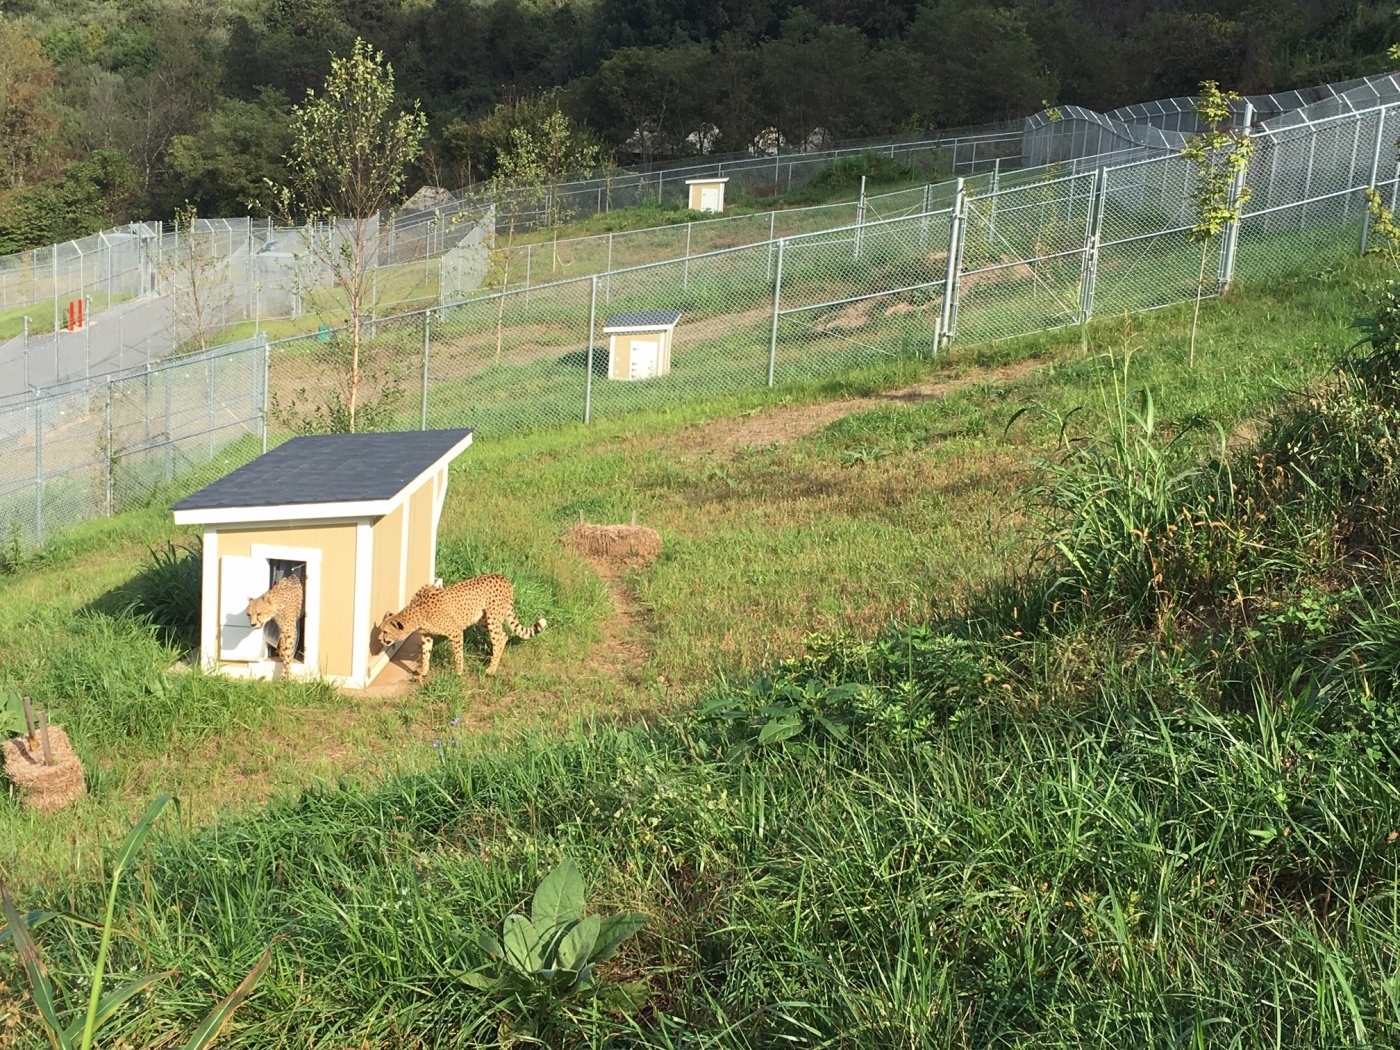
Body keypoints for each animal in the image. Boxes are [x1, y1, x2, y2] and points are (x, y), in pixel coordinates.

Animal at [378, 576, 546, 683]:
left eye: (385, 631)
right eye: (380, 629)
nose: (379, 639)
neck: (416, 613)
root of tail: (503, 577)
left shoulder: (455, 631)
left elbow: (458, 654)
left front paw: (458, 673)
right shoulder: (426, 634)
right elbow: (425, 654)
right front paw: (422, 673)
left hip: (492, 618)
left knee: (499, 638)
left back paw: (491, 670)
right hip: (483, 619)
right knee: (503, 636)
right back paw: (491, 659)